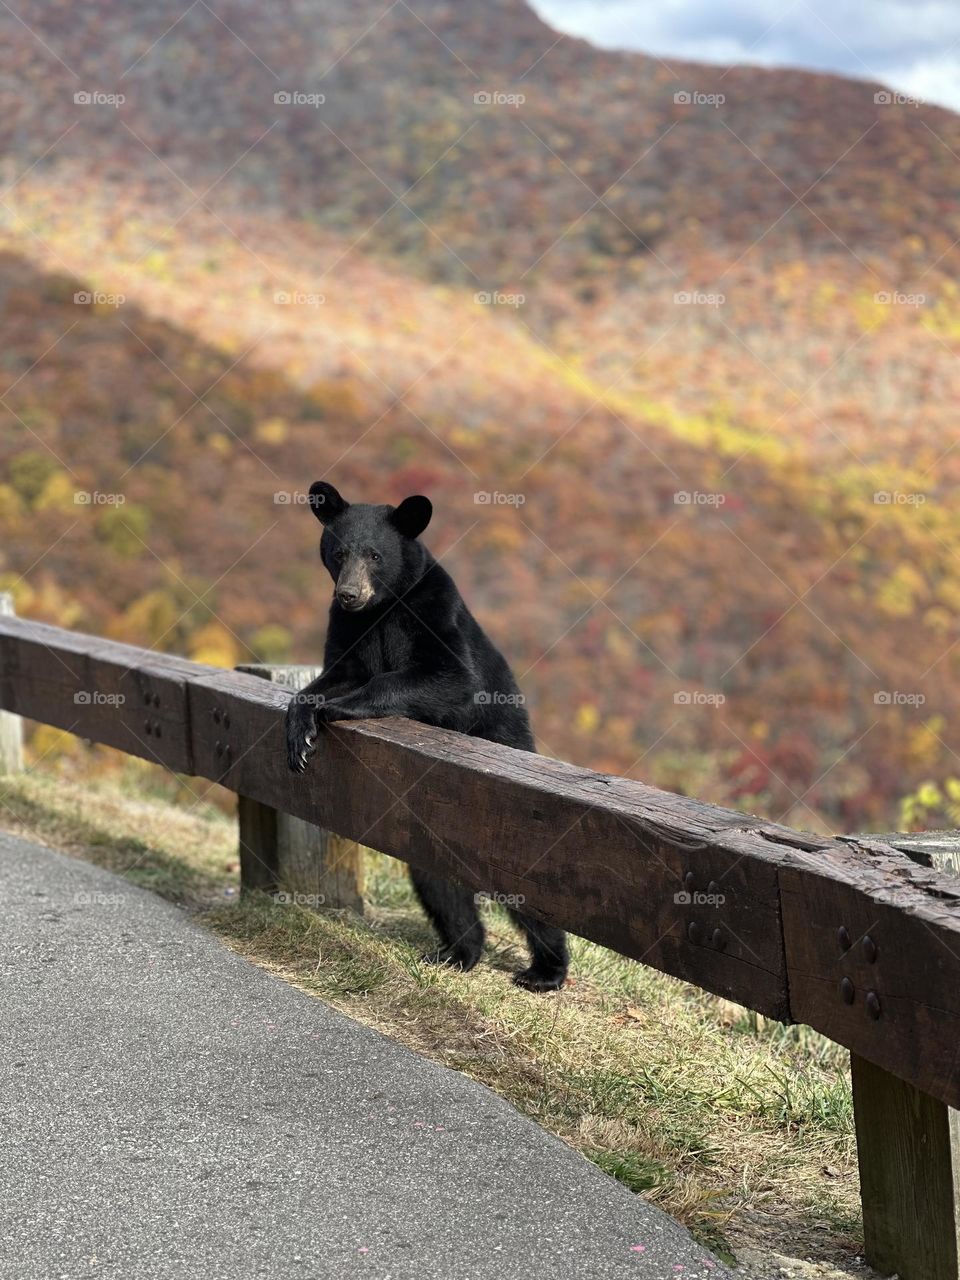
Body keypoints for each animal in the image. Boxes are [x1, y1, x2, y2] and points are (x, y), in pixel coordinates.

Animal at [285, 481, 570, 988]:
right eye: (338, 552)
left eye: (375, 554)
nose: (349, 593)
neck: (381, 610)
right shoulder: (346, 629)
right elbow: (334, 673)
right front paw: (300, 731)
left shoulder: (434, 613)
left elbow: (450, 677)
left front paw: (333, 708)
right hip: (430, 828)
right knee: (440, 884)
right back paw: (458, 953)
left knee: (527, 896)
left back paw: (545, 970)